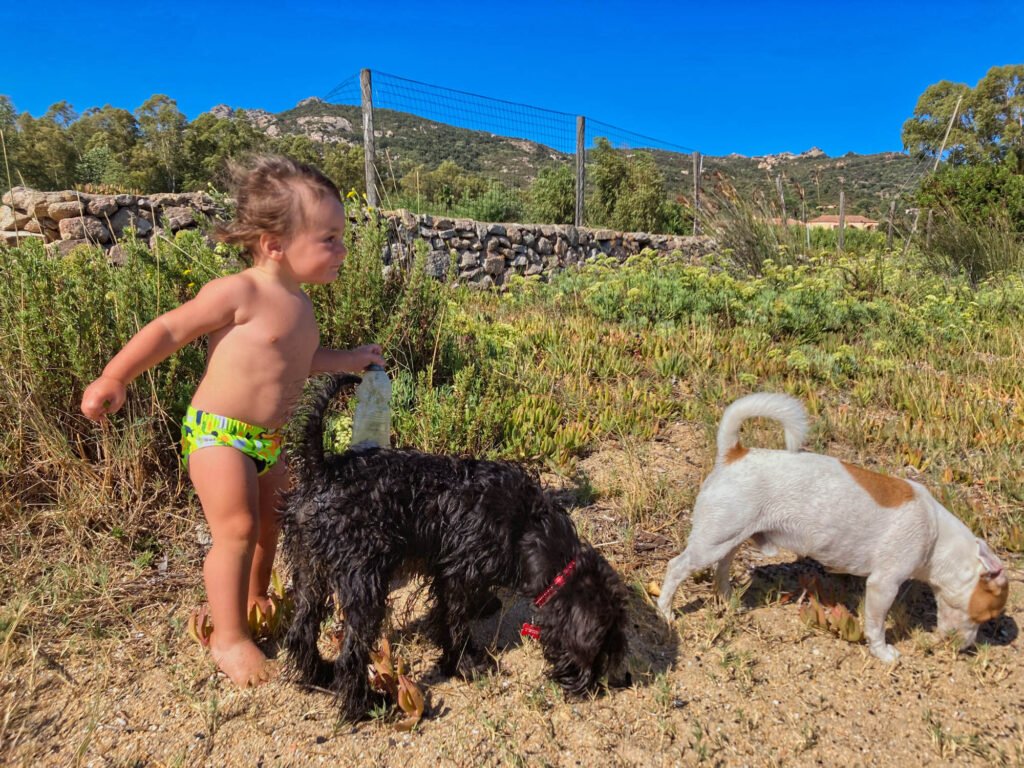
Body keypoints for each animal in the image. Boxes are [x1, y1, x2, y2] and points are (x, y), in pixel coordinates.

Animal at [282, 374, 630, 720]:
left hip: (309, 569)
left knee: (301, 630)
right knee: (351, 654)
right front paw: (466, 664)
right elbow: (455, 624)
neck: (527, 527)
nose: (622, 680)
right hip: (364, 583)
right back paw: (364, 706)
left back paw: (318, 676)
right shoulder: (457, 577)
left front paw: (483, 608)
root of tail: (322, 472)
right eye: (605, 643)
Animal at [663, 393, 1007, 663]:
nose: (967, 648)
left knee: (721, 569)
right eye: (986, 617)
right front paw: (884, 653)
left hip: (729, 539)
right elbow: (875, 626)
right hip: (709, 544)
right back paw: (666, 612)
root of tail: (734, 453)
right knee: (675, 568)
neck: (937, 539)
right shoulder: (883, 585)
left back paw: (728, 599)